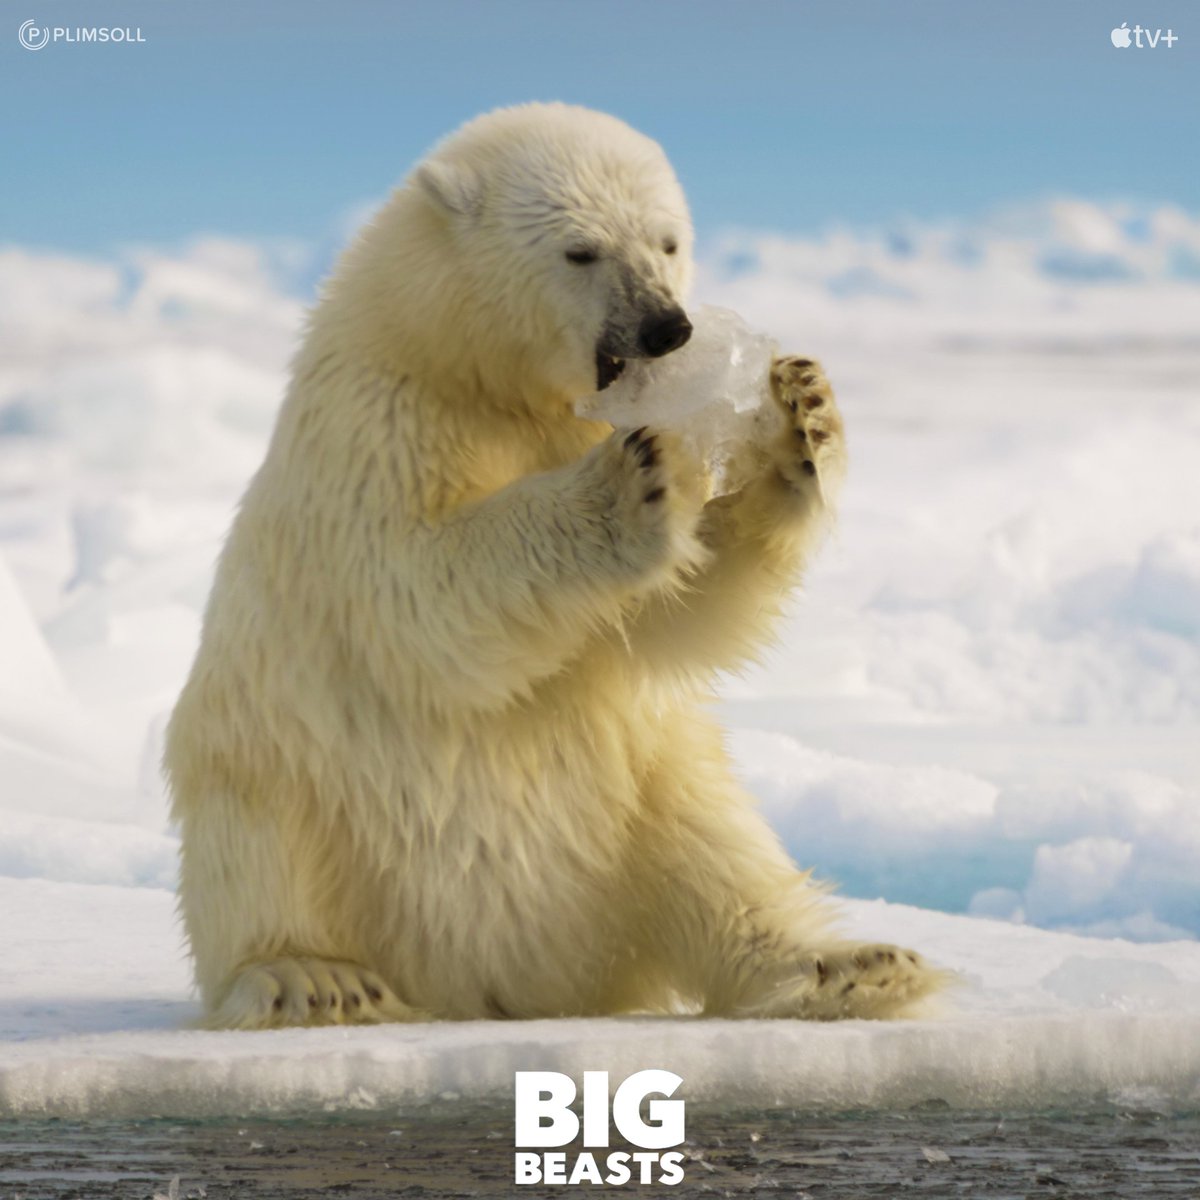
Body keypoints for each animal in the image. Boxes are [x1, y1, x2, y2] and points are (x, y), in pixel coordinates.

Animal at [165, 102, 946, 1029]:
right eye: (581, 250)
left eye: (667, 241)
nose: (668, 327)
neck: (480, 375)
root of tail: (503, 980)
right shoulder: (376, 422)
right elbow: (413, 588)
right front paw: (636, 478)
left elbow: (672, 623)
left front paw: (799, 413)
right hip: (280, 783)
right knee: (261, 860)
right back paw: (315, 980)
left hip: (634, 803)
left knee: (714, 842)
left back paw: (849, 966)